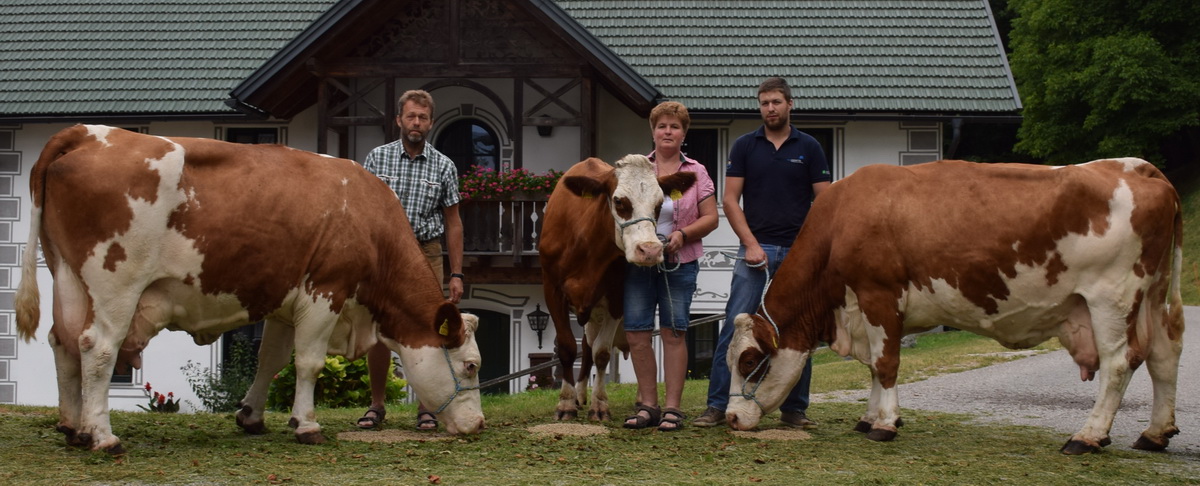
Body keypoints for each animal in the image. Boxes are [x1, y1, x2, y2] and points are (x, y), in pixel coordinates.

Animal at [14, 124, 482, 451]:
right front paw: (307, 425)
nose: (478, 425)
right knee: (97, 348)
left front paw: (252, 417)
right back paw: (103, 436)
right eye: (471, 366)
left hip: (67, 277)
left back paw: (73, 428)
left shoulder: (286, 300)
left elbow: (270, 360)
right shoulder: (325, 291)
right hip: (115, 283)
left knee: (63, 342)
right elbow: (308, 362)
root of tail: (86, 132)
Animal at [537, 153, 696, 417]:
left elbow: (602, 352)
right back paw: (580, 395)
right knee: (586, 346)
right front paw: (566, 402)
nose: (650, 250)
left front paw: (600, 404)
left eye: (659, 204)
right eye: (619, 201)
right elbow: (568, 348)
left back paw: (642, 400)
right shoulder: (552, 290)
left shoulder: (617, 297)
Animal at [720, 157, 1180, 453]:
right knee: (1164, 356)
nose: (731, 419)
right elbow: (874, 367)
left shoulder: (878, 295)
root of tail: (1139, 167)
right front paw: (869, 418)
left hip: (1111, 297)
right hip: (1156, 298)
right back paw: (1155, 434)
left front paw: (884, 424)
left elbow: (886, 364)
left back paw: (1087, 436)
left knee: (1119, 363)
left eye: (748, 361)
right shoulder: (866, 313)